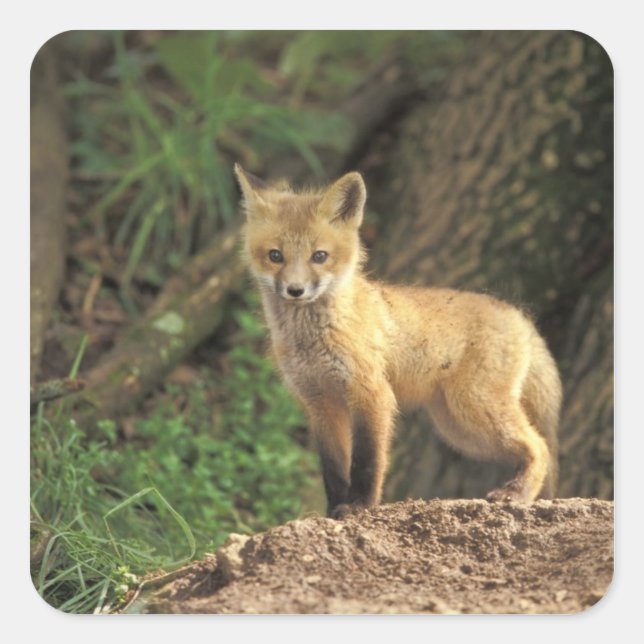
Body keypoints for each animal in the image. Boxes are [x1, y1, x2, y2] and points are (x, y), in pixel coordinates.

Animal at [234, 163, 562, 519]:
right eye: (275, 256)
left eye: (319, 256)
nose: (295, 290)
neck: (314, 340)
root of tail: (518, 314)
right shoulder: (320, 404)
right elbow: (333, 469)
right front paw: (334, 509)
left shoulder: (372, 394)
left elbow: (367, 461)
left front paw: (360, 505)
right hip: (460, 429)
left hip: (475, 409)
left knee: (540, 446)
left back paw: (518, 493)